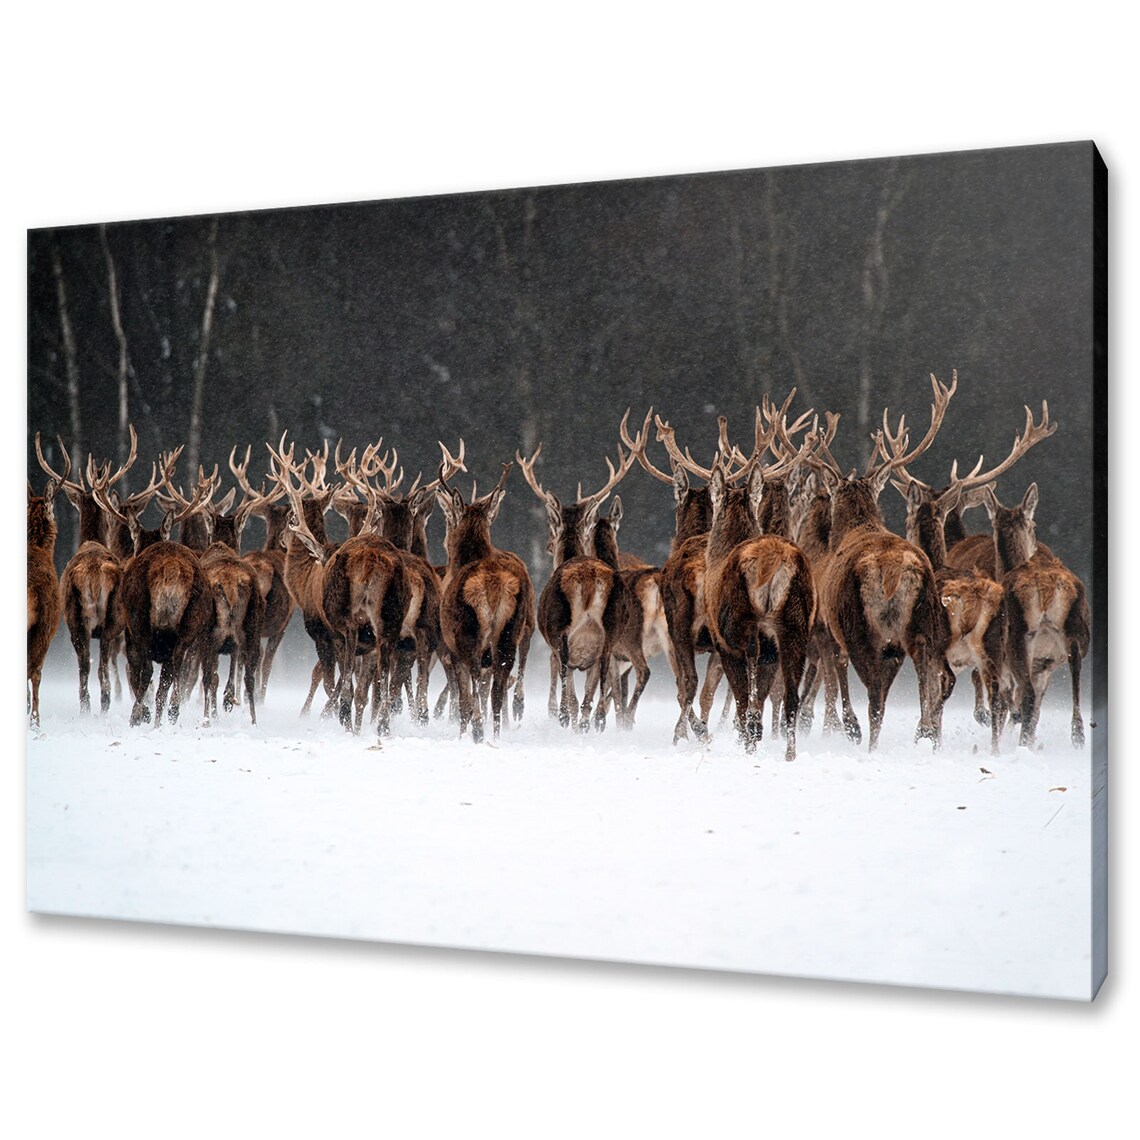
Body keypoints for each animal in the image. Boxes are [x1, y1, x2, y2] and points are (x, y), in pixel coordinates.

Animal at [435, 460, 535, 743]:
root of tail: (493, 584)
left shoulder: (451, 646)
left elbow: (464, 697)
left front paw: (464, 731)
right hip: (511, 629)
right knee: (498, 688)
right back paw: (497, 733)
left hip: (468, 632)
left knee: (475, 676)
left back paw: (479, 731)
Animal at [516, 432, 638, 733]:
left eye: (552, 529)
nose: (548, 546)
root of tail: (590, 580)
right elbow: (589, 698)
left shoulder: (556, 646)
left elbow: (571, 699)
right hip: (609, 636)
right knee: (597, 705)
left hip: (561, 633)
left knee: (567, 700)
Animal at [811, 372, 958, 751]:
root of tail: (894, 569)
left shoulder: (832, 625)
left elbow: (840, 669)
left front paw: (850, 726)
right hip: (924, 620)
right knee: (930, 668)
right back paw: (925, 730)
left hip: (861, 624)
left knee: (875, 694)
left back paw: (867, 738)